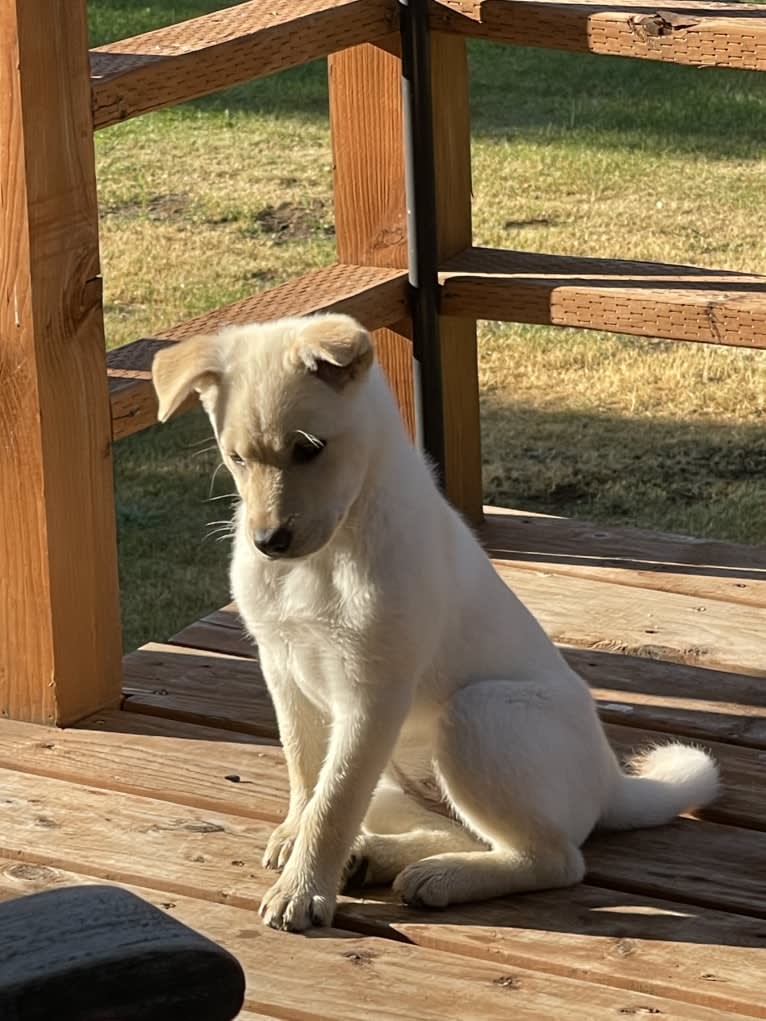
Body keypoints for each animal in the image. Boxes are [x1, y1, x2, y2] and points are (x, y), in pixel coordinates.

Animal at [154, 312, 719, 935]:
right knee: (460, 829)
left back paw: (442, 877)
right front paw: (295, 839)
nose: (268, 542)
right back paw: (381, 860)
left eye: (309, 450)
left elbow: (332, 805)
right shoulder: (283, 669)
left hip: (479, 716)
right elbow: (306, 775)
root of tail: (612, 782)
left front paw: (302, 892)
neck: (330, 554)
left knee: (554, 859)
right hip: (397, 776)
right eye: (235, 459)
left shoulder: (373, 692)